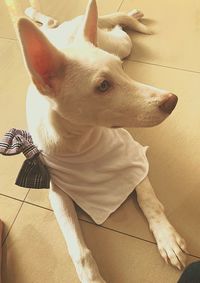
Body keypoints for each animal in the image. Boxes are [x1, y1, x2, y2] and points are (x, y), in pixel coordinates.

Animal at [16, 1, 187, 282]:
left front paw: (167, 238)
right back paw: (32, 14)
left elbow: (149, 199)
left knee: (111, 25)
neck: (80, 143)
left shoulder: (135, 157)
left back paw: (128, 15)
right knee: (53, 22)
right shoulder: (57, 193)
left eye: (120, 70)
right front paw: (92, 277)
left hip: (121, 44)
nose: (172, 101)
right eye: (103, 86)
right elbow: (79, 250)